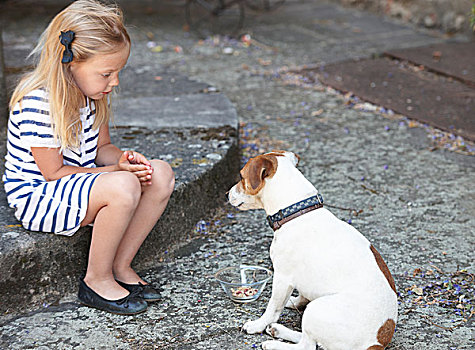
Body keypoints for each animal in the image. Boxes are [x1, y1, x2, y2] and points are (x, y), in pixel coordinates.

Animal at [229, 150, 400, 350]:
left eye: (241, 176)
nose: (227, 193)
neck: (296, 213)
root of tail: (377, 343)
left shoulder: (282, 277)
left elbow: (273, 308)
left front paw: (257, 325)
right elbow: (302, 294)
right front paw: (294, 302)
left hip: (315, 310)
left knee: (307, 346)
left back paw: (273, 343)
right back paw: (277, 330)